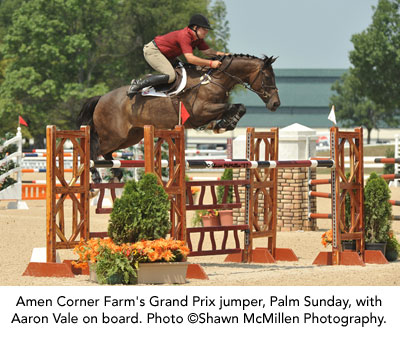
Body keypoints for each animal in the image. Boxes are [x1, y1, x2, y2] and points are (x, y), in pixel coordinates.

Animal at [76, 54, 280, 183]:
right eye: (267, 76)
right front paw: (223, 124)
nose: (276, 104)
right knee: (94, 149)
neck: (214, 80)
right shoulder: (200, 111)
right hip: (114, 135)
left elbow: (238, 107)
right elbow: (231, 107)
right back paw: (95, 175)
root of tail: (101, 98)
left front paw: (224, 124)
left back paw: (117, 172)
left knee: (107, 153)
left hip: (131, 136)